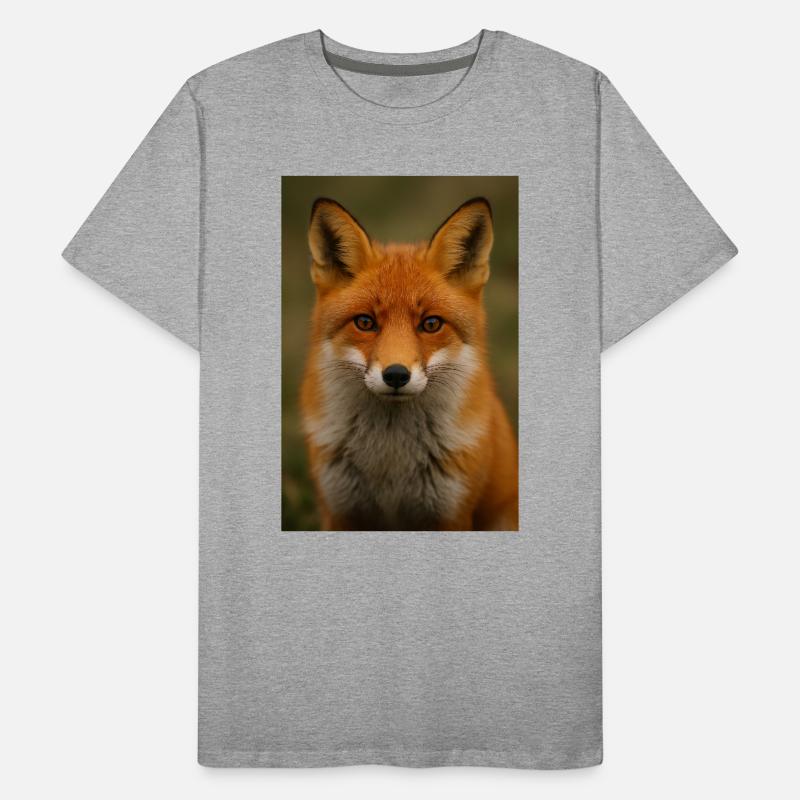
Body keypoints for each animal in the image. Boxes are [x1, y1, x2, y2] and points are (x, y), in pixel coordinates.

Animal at [300, 196, 518, 531]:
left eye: (431, 324)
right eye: (365, 322)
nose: (396, 375)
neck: (391, 462)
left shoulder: (451, 512)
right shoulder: (339, 510)